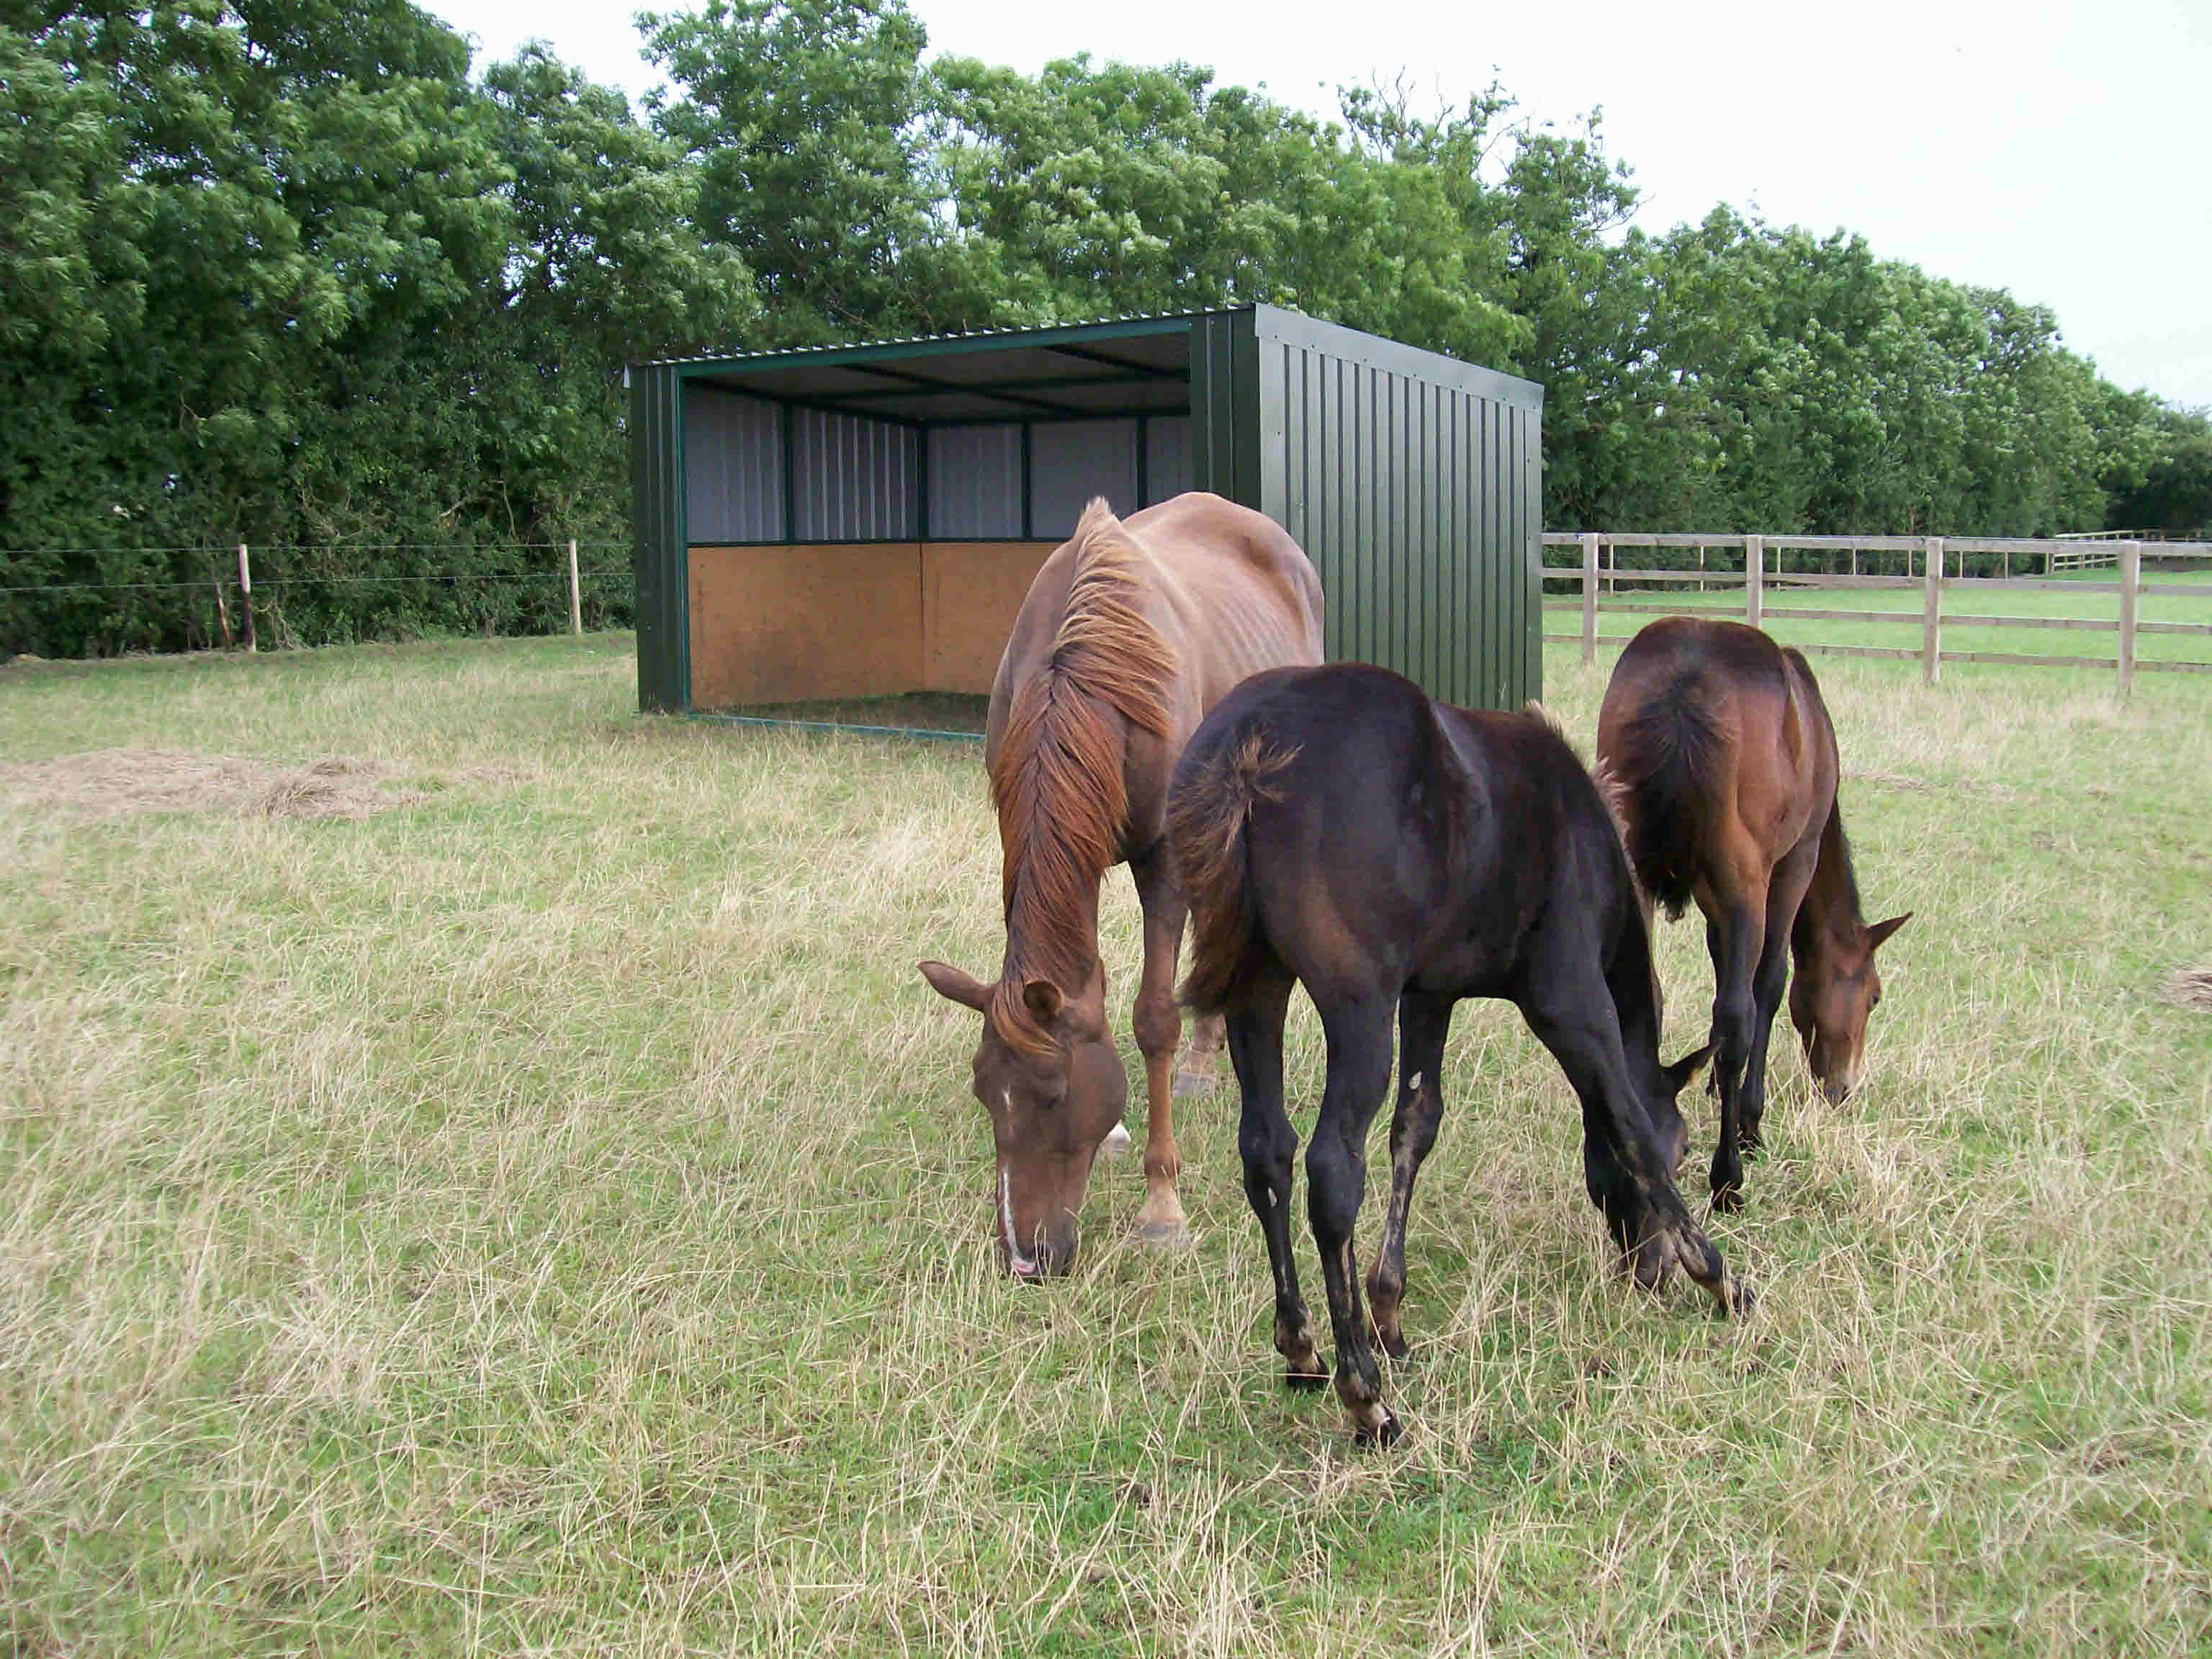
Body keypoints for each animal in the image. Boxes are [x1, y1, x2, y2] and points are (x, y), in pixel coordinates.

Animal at [919, 493, 1324, 1279]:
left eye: (1053, 1096)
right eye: (984, 1092)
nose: (1027, 1257)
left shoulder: (1163, 858)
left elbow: (1152, 1018)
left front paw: (1162, 1208)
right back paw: (1204, 1057)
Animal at [1168, 662, 1745, 1447]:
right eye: (1687, 1148)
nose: (1646, 1270)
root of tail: (1248, 743)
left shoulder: (1430, 995)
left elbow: (1416, 1126)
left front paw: (1389, 1311)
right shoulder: (1569, 998)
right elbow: (1629, 1126)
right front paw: (1716, 1273)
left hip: (1256, 988)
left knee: (1267, 1153)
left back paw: (1302, 1349)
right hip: (1358, 1005)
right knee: (1330, 1169)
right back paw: (1364, 1395)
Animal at [1596, 616, 1909, 1213]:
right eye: (1876, 997)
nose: (1843, 1089)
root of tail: (1686, 680)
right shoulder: (1792, 865)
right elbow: (1769, 982)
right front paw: (1748, 1117)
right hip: (1747, 882)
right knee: (1737, 1017)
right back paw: (1728, 1177)